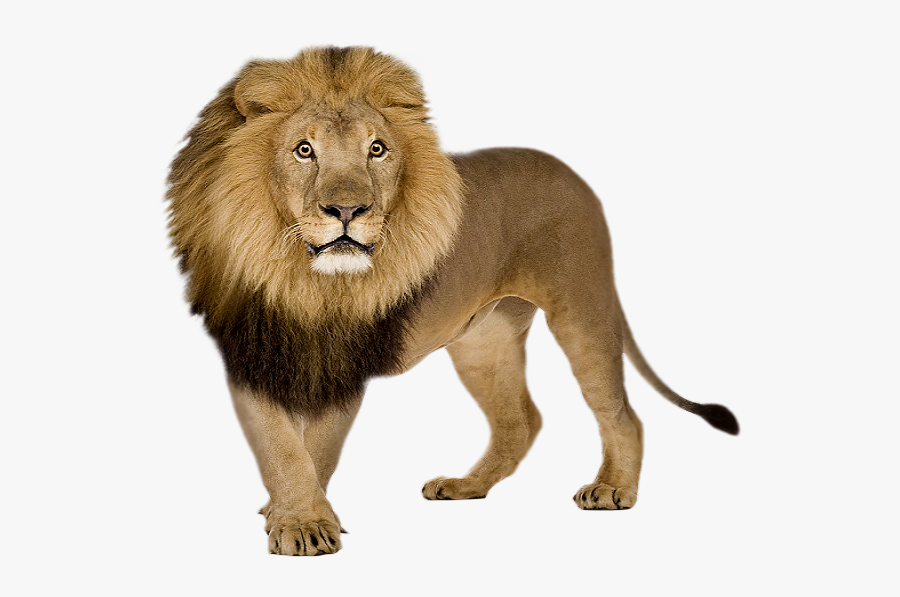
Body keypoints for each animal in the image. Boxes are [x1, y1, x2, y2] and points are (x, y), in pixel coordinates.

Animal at [167, 46, 739, 556]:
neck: (303, 279)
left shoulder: (349, 362)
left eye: (377, 149)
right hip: (482, 340)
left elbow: (318, 447)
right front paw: (295, 517)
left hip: (582, 307)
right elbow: (282, 448)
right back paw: (468, 486)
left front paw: (306, 524)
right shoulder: (249, 354)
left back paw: (614, 488)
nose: (348, 211)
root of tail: (572, 174)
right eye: (303, 150)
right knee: (521, 421)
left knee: (620, 412)